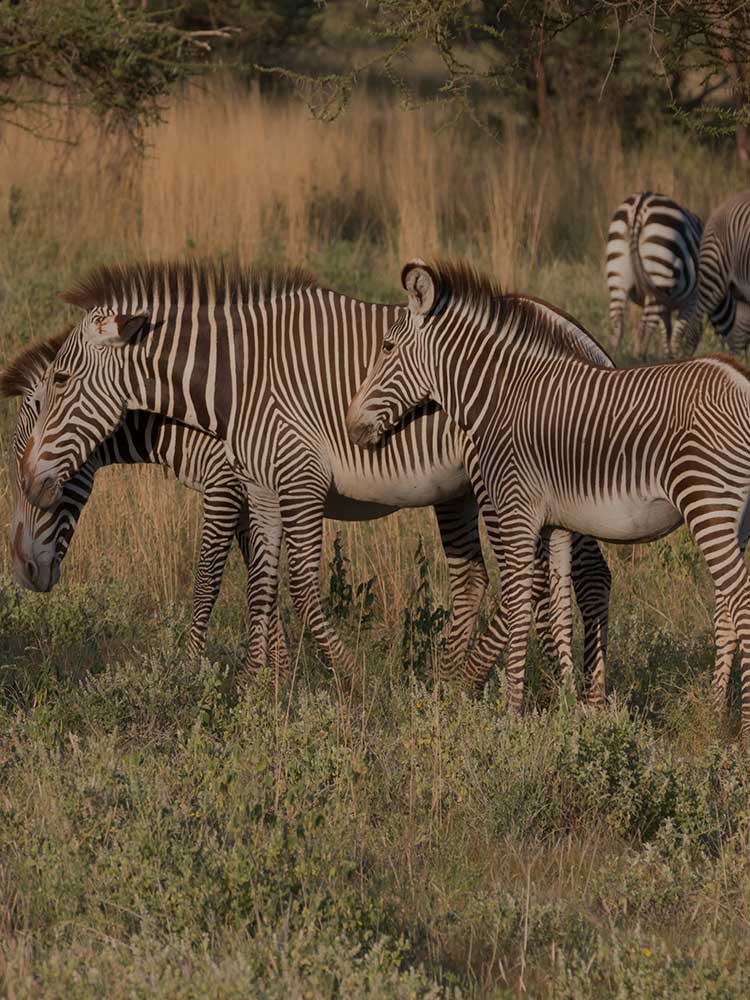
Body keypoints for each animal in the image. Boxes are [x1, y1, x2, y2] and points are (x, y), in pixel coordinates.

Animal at [13, 260, 612, 697]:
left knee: (557, 579)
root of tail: (581, 336)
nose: (24, 573)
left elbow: (245, 579)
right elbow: (261, 580)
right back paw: (476, 682)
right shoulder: (258, 485)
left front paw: (196, 672)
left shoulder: (256, 481)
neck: (231, 385)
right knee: (502, 579)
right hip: (482, 490)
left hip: (512, 479)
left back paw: (565, 696)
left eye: (61, 381)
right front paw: (262, 684)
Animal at [346, 259, 750, 737]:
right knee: (726, 609)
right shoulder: (556, 523)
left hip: (708, 505)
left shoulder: (516, 512)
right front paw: (566, 709)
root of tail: (740, 381)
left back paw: (742, 726)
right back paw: (715, 713)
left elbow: (520, 603)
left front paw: (512, 711)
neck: (500, 398)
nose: (351, 426)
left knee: (740, 602)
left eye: (386, 347)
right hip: (734, 521)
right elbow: (557, 610)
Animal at [606, 192, 703, 357]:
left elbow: (666, 333)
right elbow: (677, 333)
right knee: (643, 330)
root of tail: (640, 205)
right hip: (659, 272)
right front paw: (675, 357)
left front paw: (668, 357)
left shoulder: (667, 306)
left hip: (618, 275)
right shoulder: (691, 301)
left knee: (617, 326)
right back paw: (640, 358)